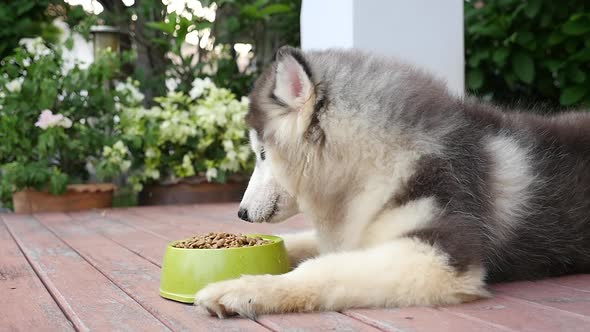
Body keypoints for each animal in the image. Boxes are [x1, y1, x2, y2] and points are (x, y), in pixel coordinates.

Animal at [195, 45, 590, 318]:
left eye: (262, 153)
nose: (242, 213)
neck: (380, 161)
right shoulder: (358, 229)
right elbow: (300, 243)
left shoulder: (437, 257)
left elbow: (323, 269)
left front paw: (244, 289)